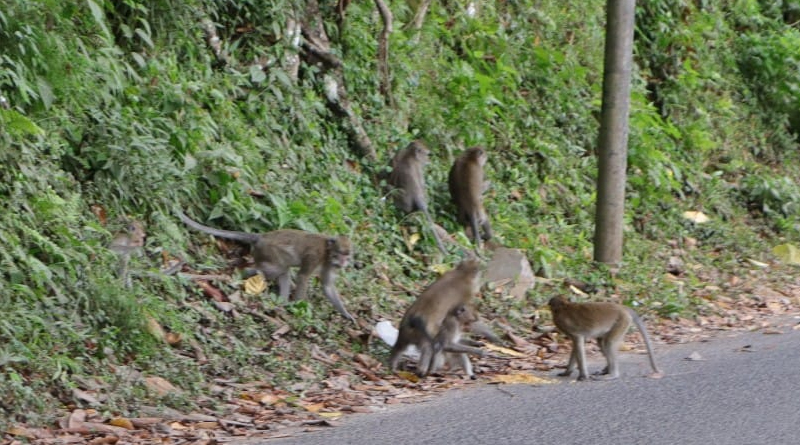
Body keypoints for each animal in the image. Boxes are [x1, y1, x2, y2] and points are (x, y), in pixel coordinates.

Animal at [180, 210, 358, 320]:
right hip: (268, 251)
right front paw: (298, 307)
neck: (327, 253)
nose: (343, 262)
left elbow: (327, 287)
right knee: (276, 269)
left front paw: (346, 315)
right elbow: (302, 276)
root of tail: (261, 237)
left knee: (283, 272)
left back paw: (281, 302)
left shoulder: (330, 265)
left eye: (347, 255)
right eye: (340, 253)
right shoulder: (315, 256)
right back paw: (244, 273)